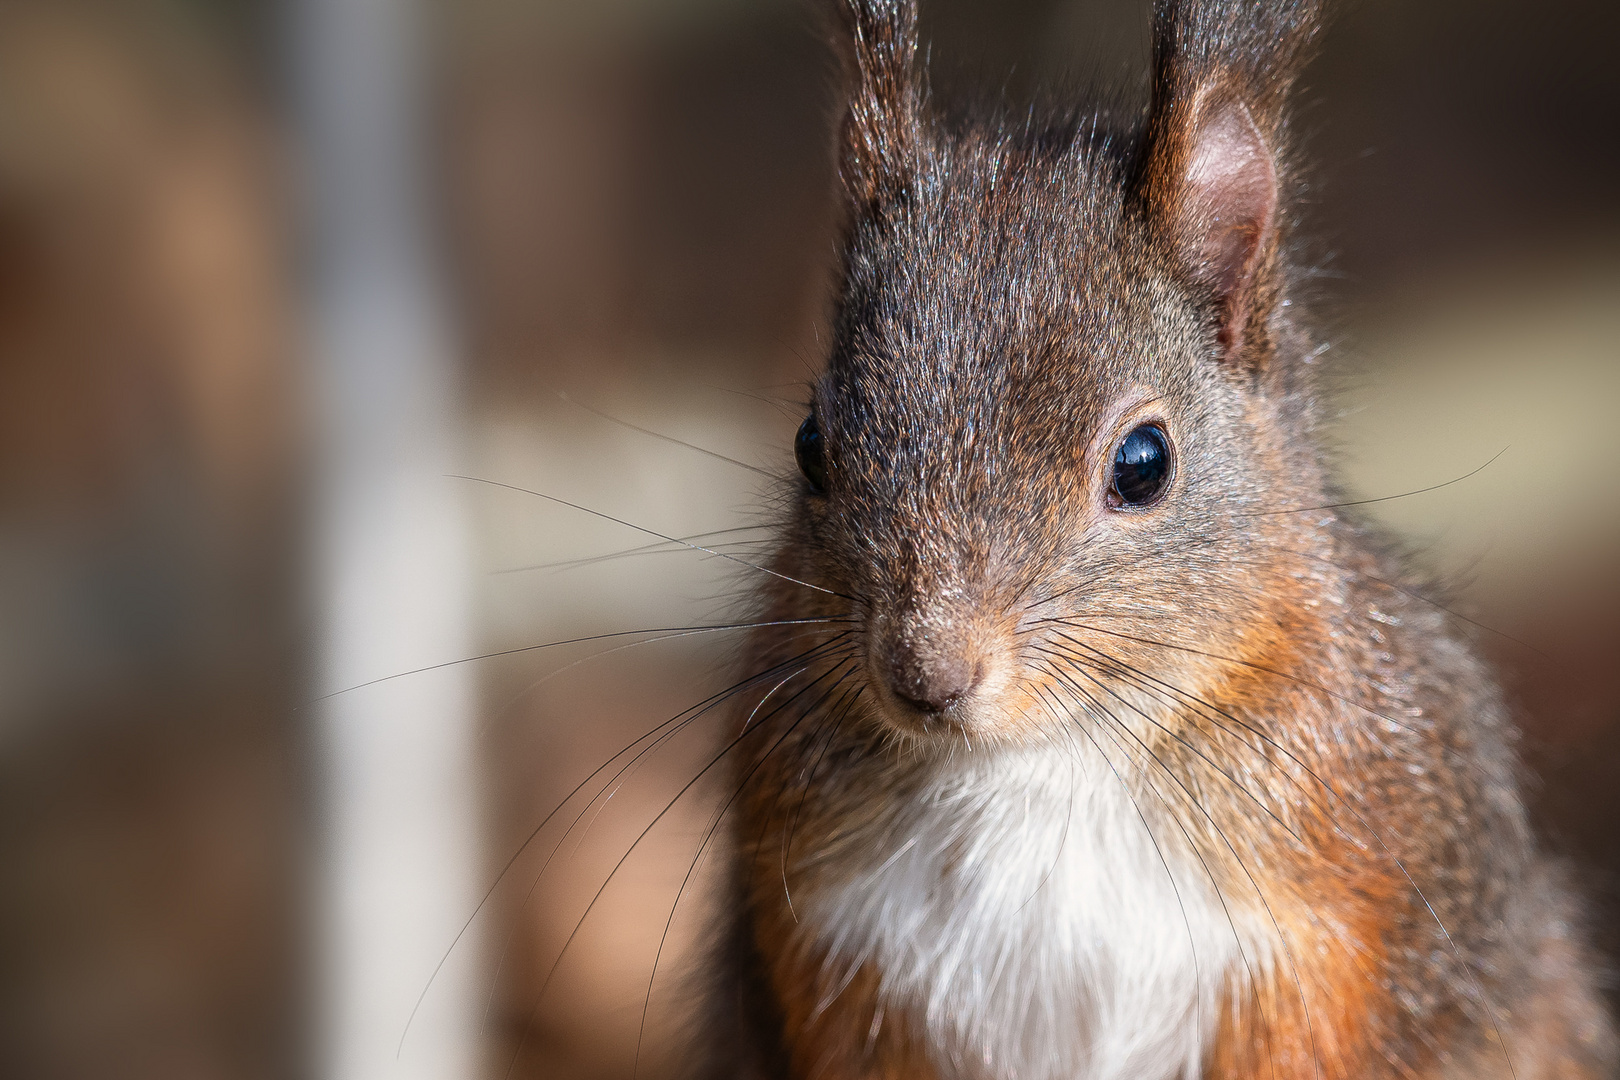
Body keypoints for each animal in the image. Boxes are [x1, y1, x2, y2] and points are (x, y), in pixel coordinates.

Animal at [690, 2, 1613, 1080]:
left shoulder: (1341, 935)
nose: (927, 674)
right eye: (811, 447)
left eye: (1142, 463)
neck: (1045, 761)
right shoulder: (827, 945)